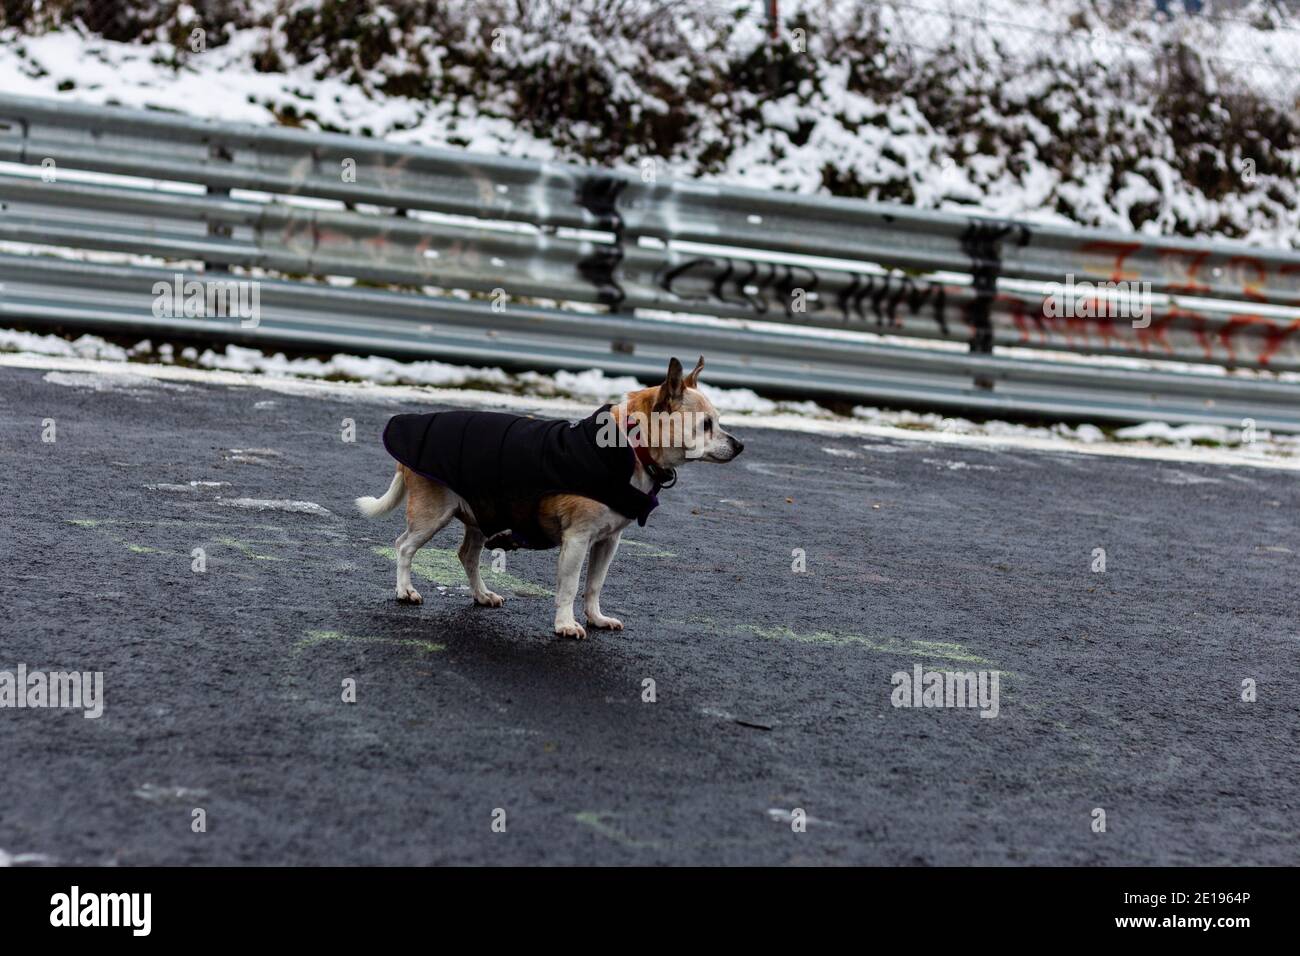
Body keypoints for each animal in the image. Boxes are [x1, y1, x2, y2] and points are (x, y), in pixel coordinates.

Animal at [353, 356, 743, 639]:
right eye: (706, 425)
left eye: (718, 422)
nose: (740, 444)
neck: (630, 445)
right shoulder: (577, 541)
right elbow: (569, 586)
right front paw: (566, 625)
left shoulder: (608, 542)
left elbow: (594, 584)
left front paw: (596, 618)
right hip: (432, 513)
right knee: (404, 546)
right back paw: (405, 591)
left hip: (481, 512)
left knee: (466, 555)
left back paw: (482, 595)